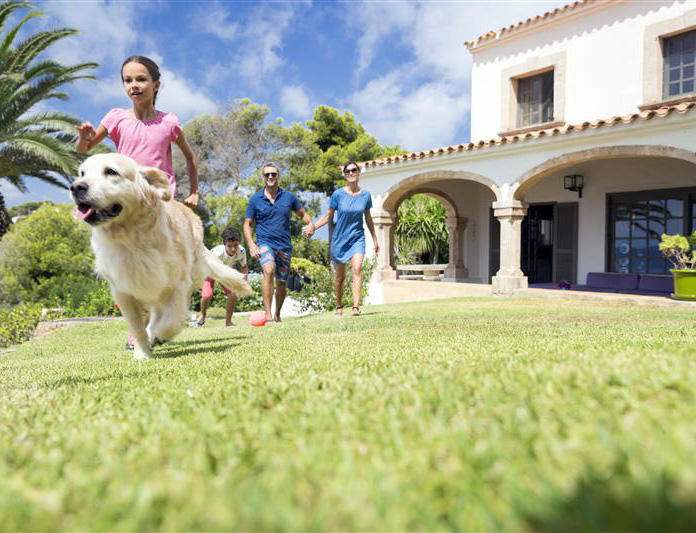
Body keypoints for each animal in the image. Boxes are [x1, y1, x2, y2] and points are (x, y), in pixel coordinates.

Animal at [68, 154, 251, 360]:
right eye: (82, 173)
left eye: (111, 171)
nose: (76, 187)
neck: (132, 239)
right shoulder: (123, 292)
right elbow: (137, 327)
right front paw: (142, 352)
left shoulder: (177, 286)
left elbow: (170, 322)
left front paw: (160, 336)